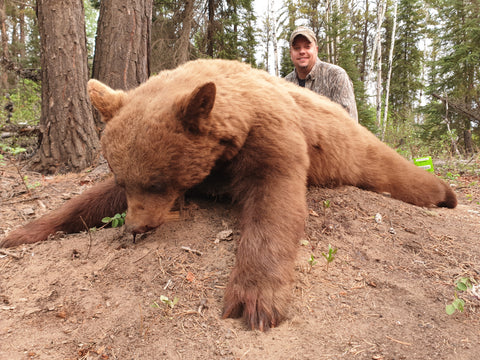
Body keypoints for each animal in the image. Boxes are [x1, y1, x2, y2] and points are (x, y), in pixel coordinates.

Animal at [0, 59, 458, 332]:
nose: (136, 227)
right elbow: (90, 199)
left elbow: (274, 202)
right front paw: (21, 233)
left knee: (395, 171)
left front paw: (255, 298)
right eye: (126, 178)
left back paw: (447, 195)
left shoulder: (270, 135)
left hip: (356, 150)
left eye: (158, 182)